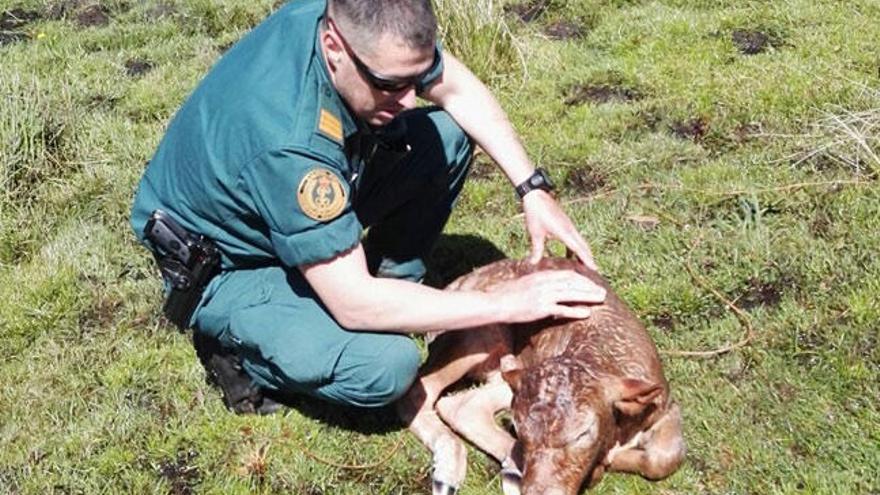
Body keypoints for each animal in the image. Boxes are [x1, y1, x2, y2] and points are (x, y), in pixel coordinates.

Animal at [398, 258, 688, 494]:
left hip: (506, 370)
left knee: (460, 403)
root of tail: (457, 282)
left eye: (582, 434)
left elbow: (663, 458)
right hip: (476, 333)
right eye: (519, 431)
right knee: (422, 391)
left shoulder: (664, 403)